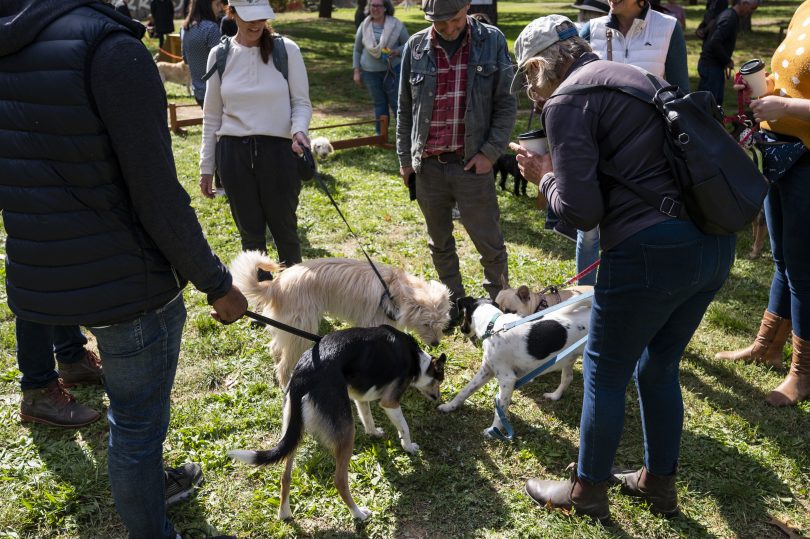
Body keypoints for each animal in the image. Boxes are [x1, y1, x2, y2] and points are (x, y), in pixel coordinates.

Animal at [230, 251, 452, 386]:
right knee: (283, 366)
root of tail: (275, 285)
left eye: (441, 324)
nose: (436, 343)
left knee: (276, 347)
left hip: (289, 327)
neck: (393, 290)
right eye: (426, 324)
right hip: (302, 329)